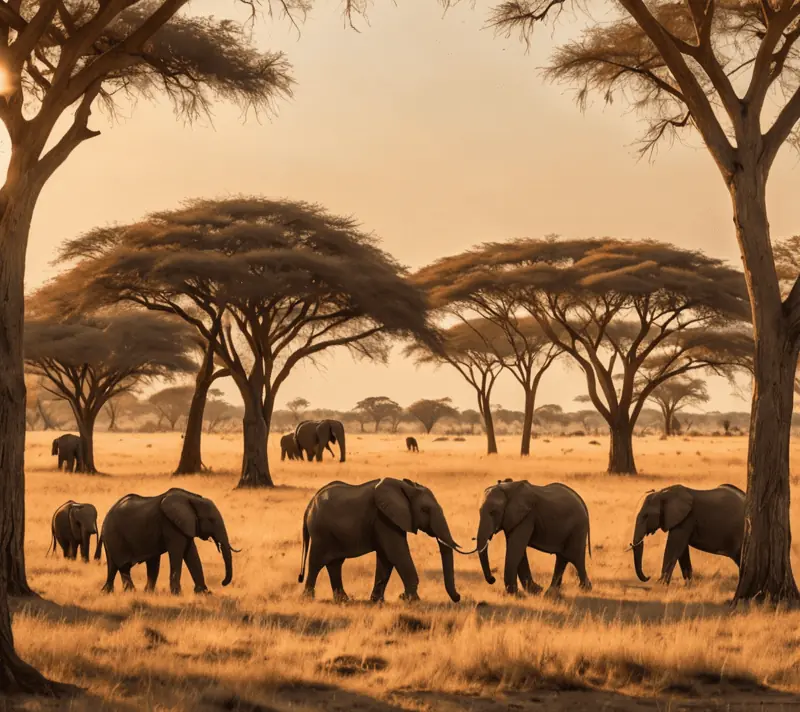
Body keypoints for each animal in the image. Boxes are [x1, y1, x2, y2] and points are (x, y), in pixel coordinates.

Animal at [98, 488, 238, 595]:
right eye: (211, 520)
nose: (223, 582)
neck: (192, 499)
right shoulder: (171, 525)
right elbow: (177, 553)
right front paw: (177, 594)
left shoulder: (185, 526)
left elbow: (192, 554)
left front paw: (204, 593)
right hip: (113, 536)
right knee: (120, 565)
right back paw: (128, 592)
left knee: (121, 566)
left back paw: (132, 592)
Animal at [298, 477, 465, 603]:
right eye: (425, 510)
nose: (458, 597)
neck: (406, 488)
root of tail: (309, 505)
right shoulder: (384, 519)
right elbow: (397, 553)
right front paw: (413, 600)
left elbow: (386, 559)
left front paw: (377, 601)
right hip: (321, 532)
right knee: (316, 563)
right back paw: (308, 599)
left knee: (335, 564)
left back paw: (343, 600)